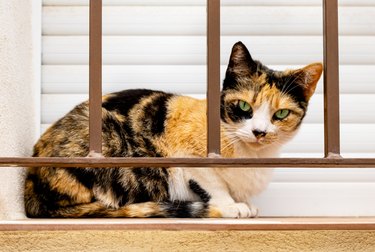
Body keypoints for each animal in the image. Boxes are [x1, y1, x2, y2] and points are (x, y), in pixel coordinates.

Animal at [24, 42, 324, 218]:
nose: (259, 132)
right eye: (243, 106)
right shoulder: (186, 157)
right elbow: (214, 185)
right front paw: (231, 206)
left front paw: (245, 203)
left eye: (281, 114)